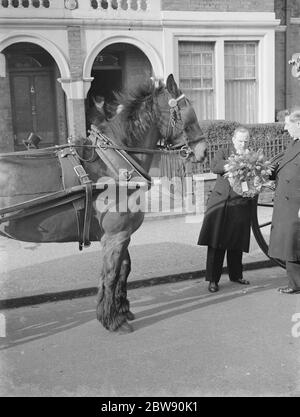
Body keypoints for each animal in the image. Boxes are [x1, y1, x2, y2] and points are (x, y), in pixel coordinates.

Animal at [0, 75, 206, 334]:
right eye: (187, 113)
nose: (203, 150)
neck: (115, 163)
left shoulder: (122, 234)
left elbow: (124, 269)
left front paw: (122, 309)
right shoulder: (115, 236)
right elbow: (111, 275)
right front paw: (112, 319)